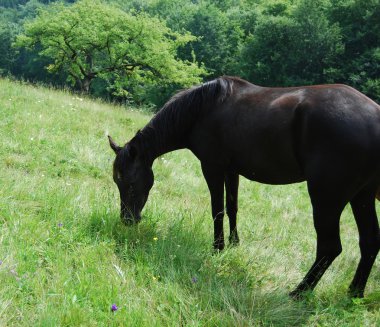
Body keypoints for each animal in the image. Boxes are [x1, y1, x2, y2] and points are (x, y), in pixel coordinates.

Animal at [107, 77, 380, 300]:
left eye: (129, 182)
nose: (127, 220)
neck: (203, 109)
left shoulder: (213, 167)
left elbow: (217, 209)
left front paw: (217, 248)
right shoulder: (232, 170)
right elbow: (232, 208)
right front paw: (234, 243)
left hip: (327, 198)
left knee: (330, 247)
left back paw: (299, 292)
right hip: (362, 197)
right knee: (369, 242)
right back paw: (354, 293)